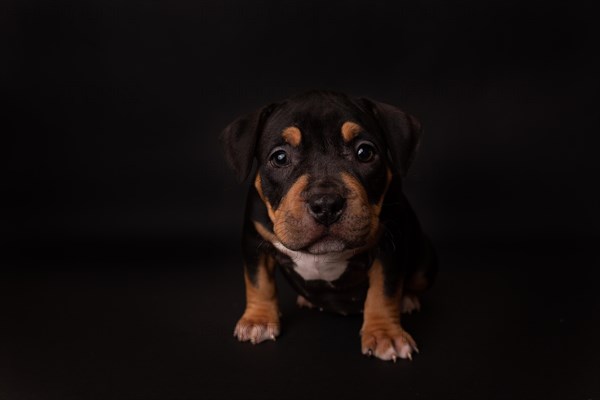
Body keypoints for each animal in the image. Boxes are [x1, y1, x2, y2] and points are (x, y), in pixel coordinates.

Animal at [220, 90, 436, 362]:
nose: (326, 204)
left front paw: (386, 334)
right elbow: (258, 282)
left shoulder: (390, 246)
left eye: (365, 153)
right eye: (280, 157)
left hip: (425, 263)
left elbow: (383, 292)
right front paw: (258, 320)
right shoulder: (254, 240)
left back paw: (407, 299)